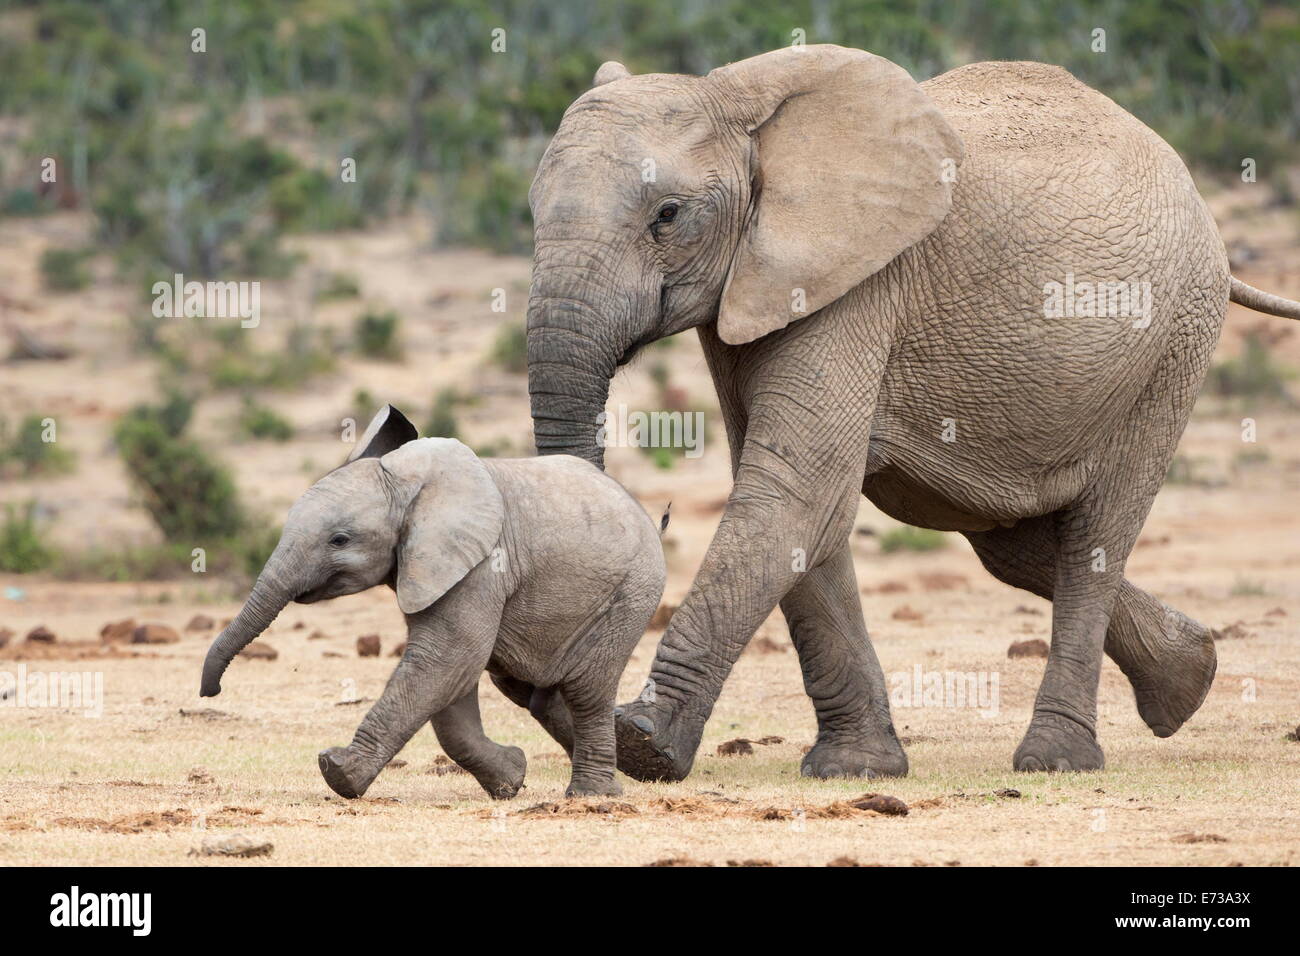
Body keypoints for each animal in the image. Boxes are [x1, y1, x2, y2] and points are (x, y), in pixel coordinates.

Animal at [197, 403, 665, 801]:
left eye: (339, 540)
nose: (209, 691)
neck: (408, 485)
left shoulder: (481, 563)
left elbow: (447, 657)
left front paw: (337, 770)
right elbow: (451, 678)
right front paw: (511, 779)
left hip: (631, 592)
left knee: (587, 689)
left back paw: (593, 795)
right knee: (536, 693)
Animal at [520, 42, 1300, 785]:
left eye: (668, 215)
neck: (742, 103)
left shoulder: (860, 283)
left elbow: (797, 492)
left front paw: (641, 745)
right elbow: (804, 506)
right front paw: (855, 768)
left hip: (1173, 343)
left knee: (1094, 535)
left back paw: (1058, 758)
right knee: (1011, 543)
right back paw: (1189, 677)